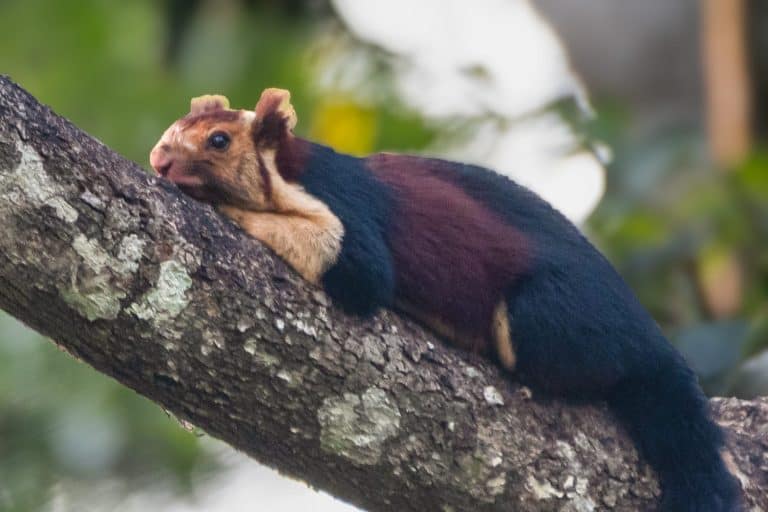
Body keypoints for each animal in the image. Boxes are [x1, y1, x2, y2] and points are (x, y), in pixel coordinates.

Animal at [150, 88, 743, 512]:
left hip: (546, 320)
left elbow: (359, 269)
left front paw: (226, 208)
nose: (159, 160)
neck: (288, 172)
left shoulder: (345, 208)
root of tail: (652, 341)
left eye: (219, 141)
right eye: (172, 129)